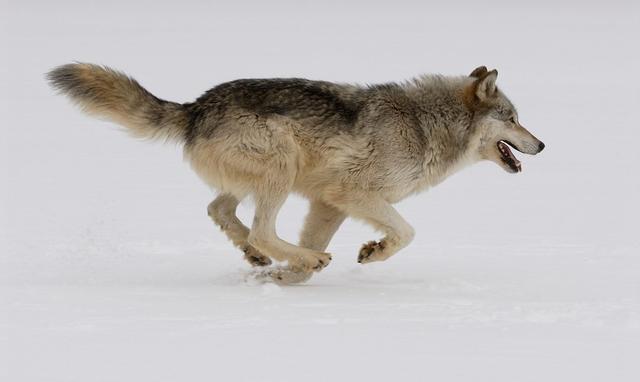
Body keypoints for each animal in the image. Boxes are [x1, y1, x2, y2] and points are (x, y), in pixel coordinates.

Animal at [47, 63, 544, 284]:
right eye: (514, 118)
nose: (542, 145)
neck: (426, 125)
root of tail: (195, 107)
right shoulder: (351, 193)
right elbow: (406, 232)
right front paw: (366, 253)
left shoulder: (328, 203)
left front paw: (287, 280)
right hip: (280, 165)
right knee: (260, 228)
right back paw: (291, 256)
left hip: (259, 178)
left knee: (221, 211)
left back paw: (259, 258)